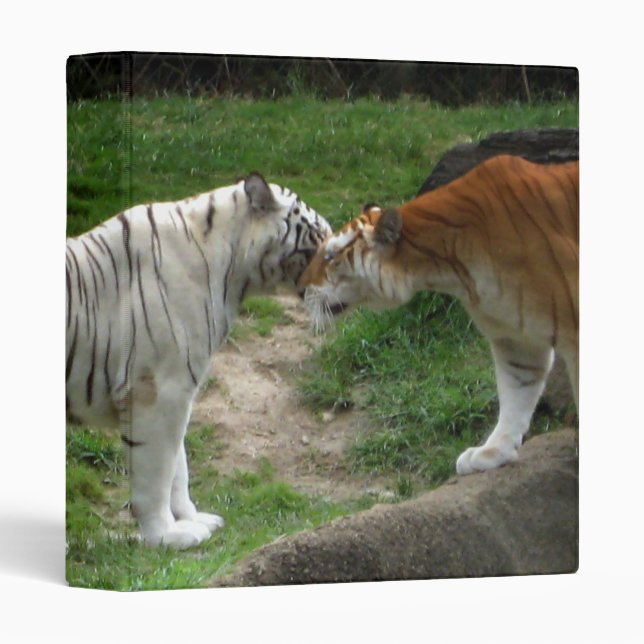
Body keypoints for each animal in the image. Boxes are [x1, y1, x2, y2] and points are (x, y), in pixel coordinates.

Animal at [66, 173, 331, 548]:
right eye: (319, 240)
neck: (234, 275)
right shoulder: (158, 390)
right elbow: (157, 470)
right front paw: (166, 535)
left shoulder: (177, 391)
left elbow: (177, 464)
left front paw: (192, 519)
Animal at [298, 154, 578, 476]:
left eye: (330, 256)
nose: (299, 289)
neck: (451, 266)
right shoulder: (514, 338)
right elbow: (515, 395)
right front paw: (492, 451)